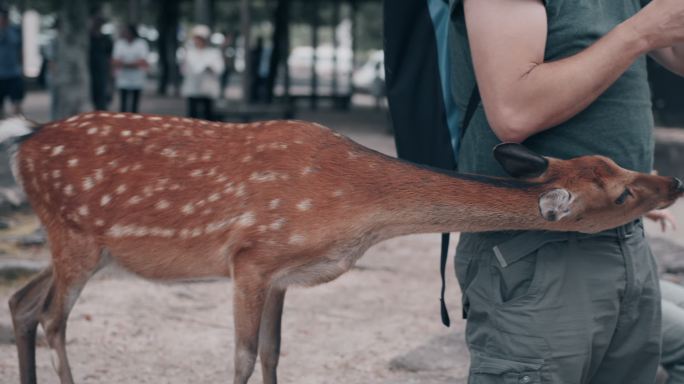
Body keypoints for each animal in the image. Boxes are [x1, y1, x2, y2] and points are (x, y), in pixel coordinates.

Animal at [0, 112, 680, 384]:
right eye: (621, 192)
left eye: (616, 162)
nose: (672, 182)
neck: (355, 209)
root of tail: (23, 145)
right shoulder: (248, 257)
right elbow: (241, 358)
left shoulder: (280, 273)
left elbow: (274, 354)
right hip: (74, 234)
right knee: (55, 318)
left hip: (86, 247)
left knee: (23, 300)